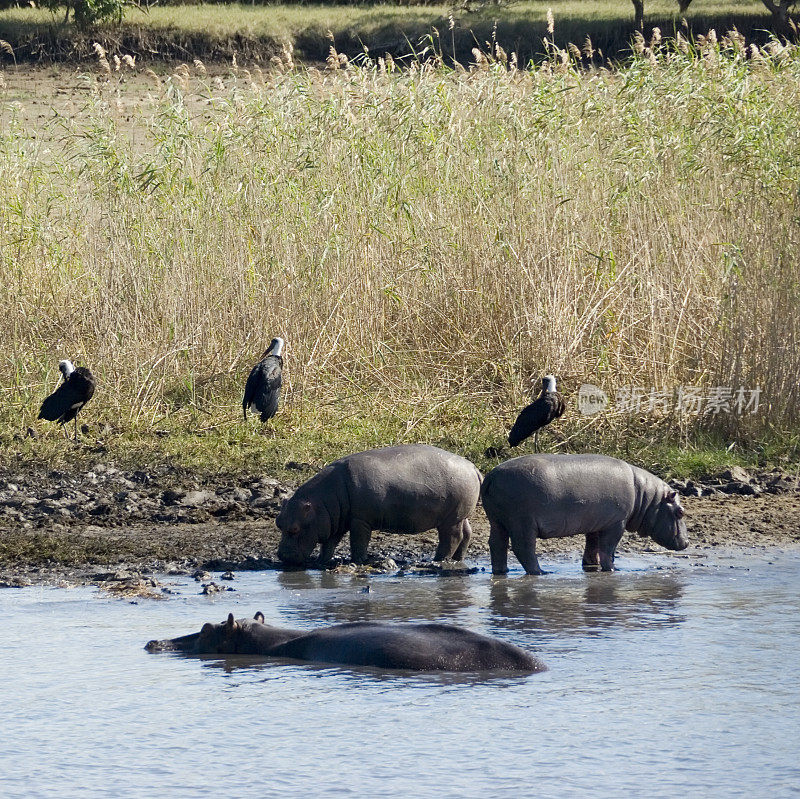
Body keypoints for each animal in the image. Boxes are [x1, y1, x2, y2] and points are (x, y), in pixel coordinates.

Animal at [274, 444, 482, 568]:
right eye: (278, 522)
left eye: (294, 529)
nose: (281, 556)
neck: (321, 502)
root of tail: (473, 467)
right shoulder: (335, 522)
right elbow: (329, 543)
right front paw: (320, 561)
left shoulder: (359, 520)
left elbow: (358, 542)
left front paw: (358, 561)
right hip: (460, 515)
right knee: (467, 534)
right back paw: (457, 559)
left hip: (450, 519)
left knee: (452, 537)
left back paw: (438, 560)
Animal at [482, 456, 688, 576]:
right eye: (680, 512)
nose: (687, 542)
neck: (646, 497)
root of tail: (491, 476)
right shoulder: (616, 523)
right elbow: (608, 548)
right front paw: (612, 569)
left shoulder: (598, 523)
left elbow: (592, 545)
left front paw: (590, 566)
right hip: (522, 522)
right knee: (523, 548)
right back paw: (541, 572)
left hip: (497, 521)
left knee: (497, 544)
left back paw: (501, 571)